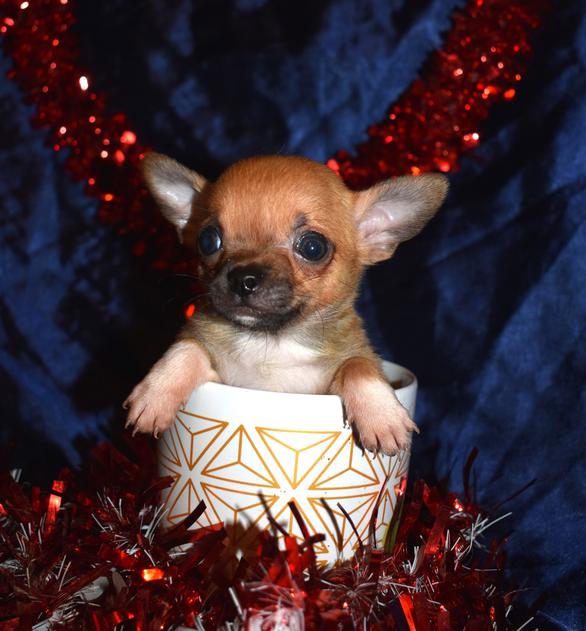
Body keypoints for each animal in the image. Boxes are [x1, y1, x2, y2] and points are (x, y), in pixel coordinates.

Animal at [124, 154, 447, 455]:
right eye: (208, 240)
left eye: (313, 247)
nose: (243, 278)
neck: (273, 342)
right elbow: (187, 347)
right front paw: (157, 392)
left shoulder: (352, 356)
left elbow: (358, 365)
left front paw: (382, 415)